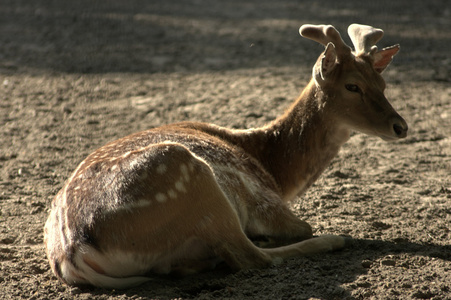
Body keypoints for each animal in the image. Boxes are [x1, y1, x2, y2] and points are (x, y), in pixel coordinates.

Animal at [45, 24, 410, 288]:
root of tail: (72, 253)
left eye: (383, 83)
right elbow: (300, 228)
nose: (400, 126)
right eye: (352, 86)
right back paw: (333, 239)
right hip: (194, 181)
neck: (272, 167)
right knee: (251, 257)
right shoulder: (264, 201)